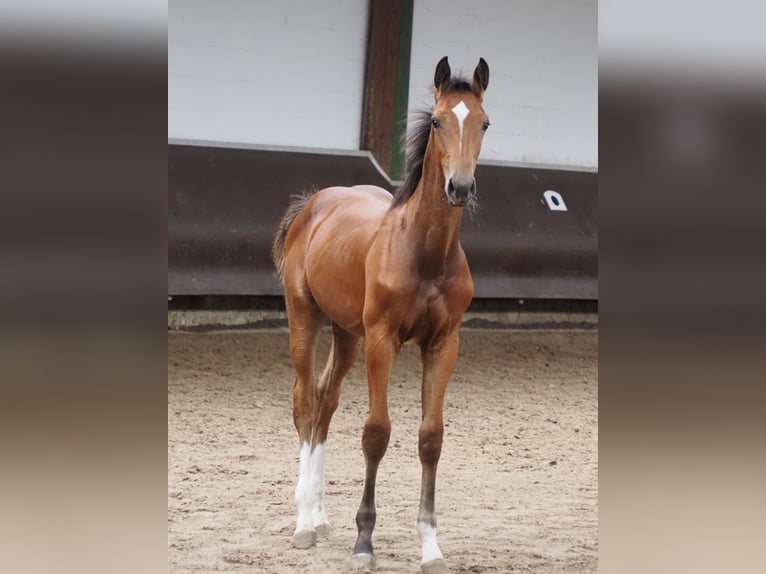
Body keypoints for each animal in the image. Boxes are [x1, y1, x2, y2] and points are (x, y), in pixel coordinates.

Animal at [272, 55, 492, 574]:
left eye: (484, 122)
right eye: (438, 121)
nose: (460, 187)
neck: (425, 252)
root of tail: (315, 202)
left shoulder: (444, 344)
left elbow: (430, 437)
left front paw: (430, 546)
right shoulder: (383, 340)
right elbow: (376, 433)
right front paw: (364, 543)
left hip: (347, 334)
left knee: (325, 405)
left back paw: (320, 516)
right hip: (305, 318)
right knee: (304, 402)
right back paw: (304, 523)